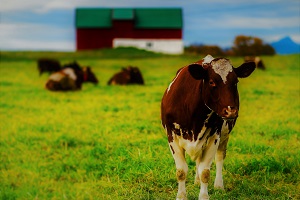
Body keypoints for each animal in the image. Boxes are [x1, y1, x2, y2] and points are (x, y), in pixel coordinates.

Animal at [161, 54, 254, 200]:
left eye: (236, 82)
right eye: (211, 82)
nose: (231, 111)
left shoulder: (214, 136)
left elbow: (205, 172)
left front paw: (204, 196)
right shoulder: (172, 137)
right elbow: (181, 171)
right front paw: (181, 196)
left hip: (224, 135)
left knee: (220, 157)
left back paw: (218, 185)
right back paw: (197, 181)